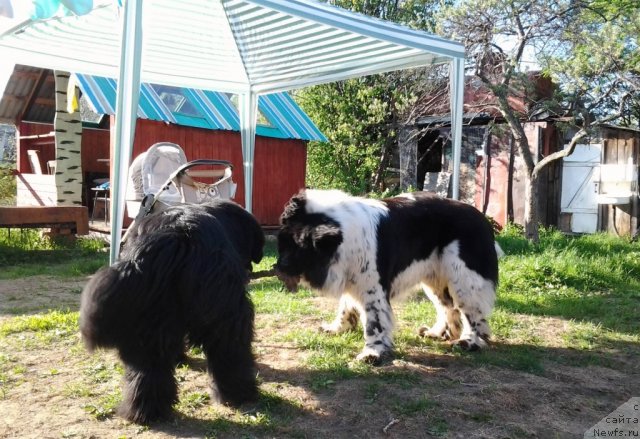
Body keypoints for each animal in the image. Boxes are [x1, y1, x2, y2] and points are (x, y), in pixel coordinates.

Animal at [80, 201, 264, 424]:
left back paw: (143, 412)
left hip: (151, 320)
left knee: (148, 369)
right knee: (229, 353)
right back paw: (240, 394)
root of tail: (175, 234)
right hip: (221, 312)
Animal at [276, 189, 500, 364]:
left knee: (472, 314)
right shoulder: (353, 279)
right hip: (435, 279)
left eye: (299, 245)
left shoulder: (372, 289)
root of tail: (481, 218)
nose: (279, 266)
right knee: (447, 307)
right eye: (283, 242)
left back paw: (469, 341)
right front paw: (337, 328)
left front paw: (373, 352)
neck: (343, 236)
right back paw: (437, 333)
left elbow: (374, 323)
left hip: (464, 278)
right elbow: (346, 307)